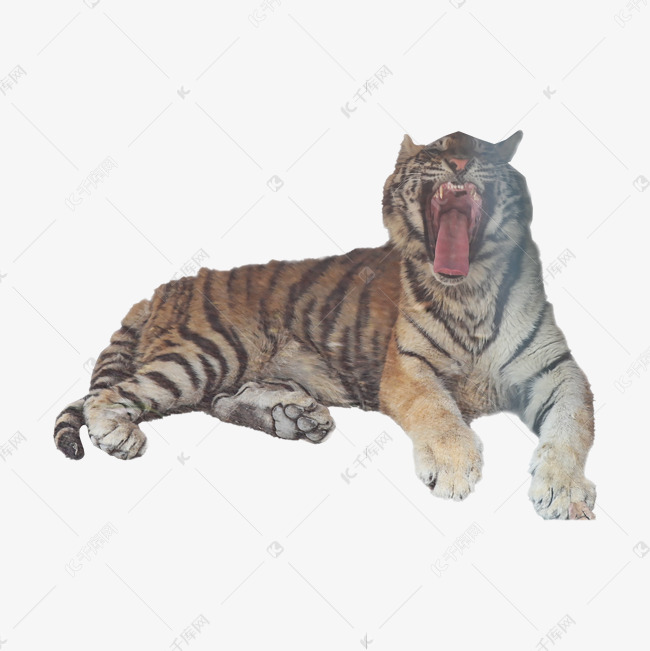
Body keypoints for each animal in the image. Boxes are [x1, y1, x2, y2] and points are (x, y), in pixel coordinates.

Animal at [54, 130, 596, 520]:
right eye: (439, 149)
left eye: (481, 151)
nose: (461, 164)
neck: (470, 290)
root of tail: (161, 289)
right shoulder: (407, 369)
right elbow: (439, 411)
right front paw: (453, 468)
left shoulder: (557, 369)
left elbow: (572, 425)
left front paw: (563, 492)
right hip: (207, 351)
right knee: (109, 395)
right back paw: (121, 437)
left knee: (220, 402)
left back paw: (295, 418)